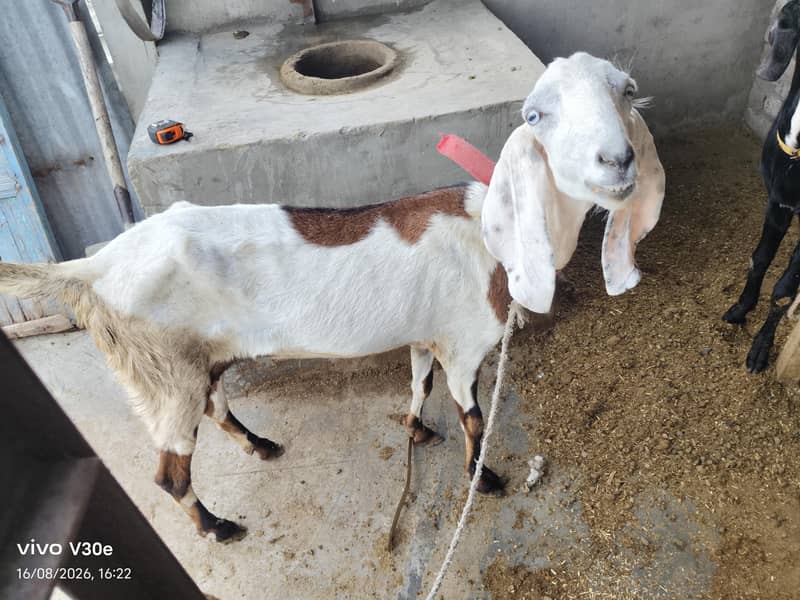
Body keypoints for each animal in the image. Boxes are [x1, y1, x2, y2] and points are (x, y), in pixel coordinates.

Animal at [0, 53, 664, 542]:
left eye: (627, 90)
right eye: (535, 114)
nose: (617, 160)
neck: (488, 231)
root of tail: (95, 265)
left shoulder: (427, 333)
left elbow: (419, 383)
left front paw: (416, 431)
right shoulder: (465, 343)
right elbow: (472, 415)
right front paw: (483, 478)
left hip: (190, 362)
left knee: (214, 406)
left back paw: (261, 446)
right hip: (162, 372)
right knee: (168, 473)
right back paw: (217, 526)